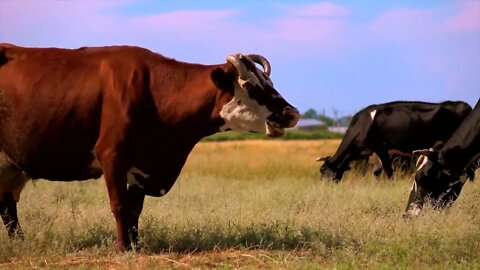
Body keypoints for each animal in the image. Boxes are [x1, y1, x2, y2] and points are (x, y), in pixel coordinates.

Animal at [0, 43, 300, 251]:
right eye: (251, 86)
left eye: (269, 83)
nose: (292, 113)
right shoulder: (112, 156)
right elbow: (120, 205)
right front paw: (122, 249)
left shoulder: (141, 166)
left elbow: (135, 210)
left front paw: (136, 247)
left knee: (7, 207)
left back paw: (20, 243)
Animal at [318, 100, 472, 181]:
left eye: (324, 171)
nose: (325, 188)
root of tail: (463, 104)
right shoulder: (373, 156)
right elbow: (377, 173)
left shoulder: (381, 148)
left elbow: (388, 170)